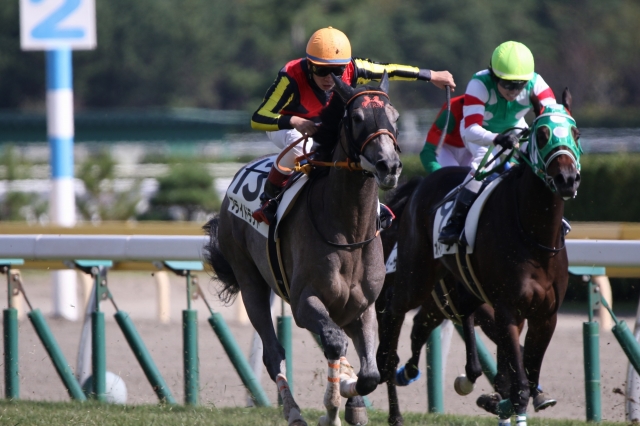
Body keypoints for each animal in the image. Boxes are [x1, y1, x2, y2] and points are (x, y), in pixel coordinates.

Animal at [204, 72, 401, 426]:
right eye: (356, 117)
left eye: (395, 118)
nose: (388, 166)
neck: (349, 232)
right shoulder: (304, 301)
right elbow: (334, 343)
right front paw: (332, 407)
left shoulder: (362, 307)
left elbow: (369, 373)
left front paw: (352, 398)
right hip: (250, 281)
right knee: (273, 353)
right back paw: (293, 411)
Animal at [376, 89, 581, 426]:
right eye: (541, 134)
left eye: (576, 133)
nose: (567, 178)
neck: (535, 237)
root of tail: (421, 184)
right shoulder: (508, 309)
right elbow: (519, 385)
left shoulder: (545, 316)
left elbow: (526, 374)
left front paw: (503, 397)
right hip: (416, 278)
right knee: (392, 311)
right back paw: (391, 387)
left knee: (439, 318)